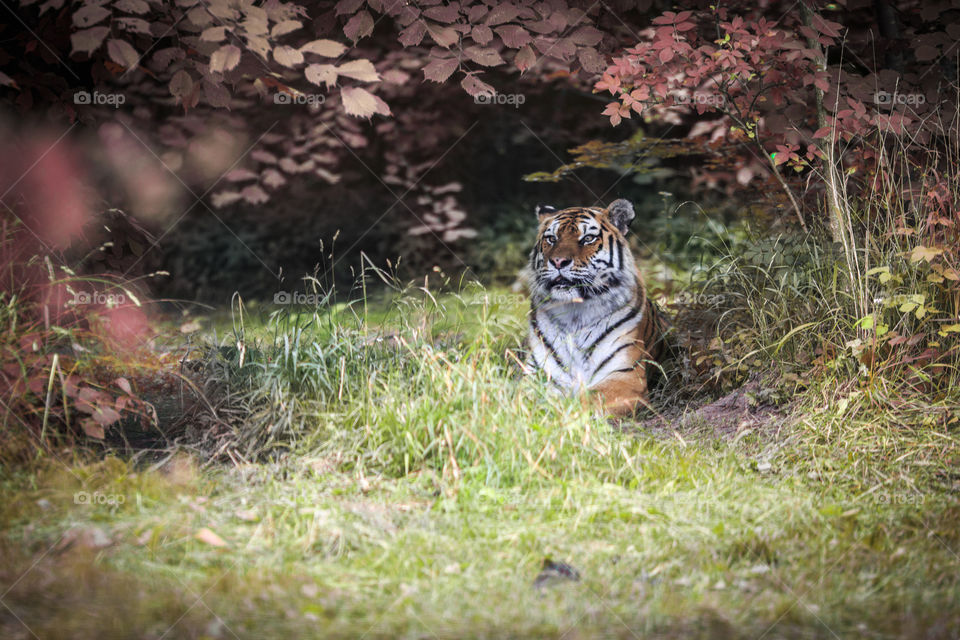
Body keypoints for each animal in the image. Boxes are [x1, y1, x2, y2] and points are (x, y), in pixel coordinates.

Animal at [524, 198, 668, 416]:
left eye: (588, 238)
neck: (574, 314)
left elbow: (588, 399)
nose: (558, 261)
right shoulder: (536, 374)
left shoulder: (625, 376)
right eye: (551, 239)